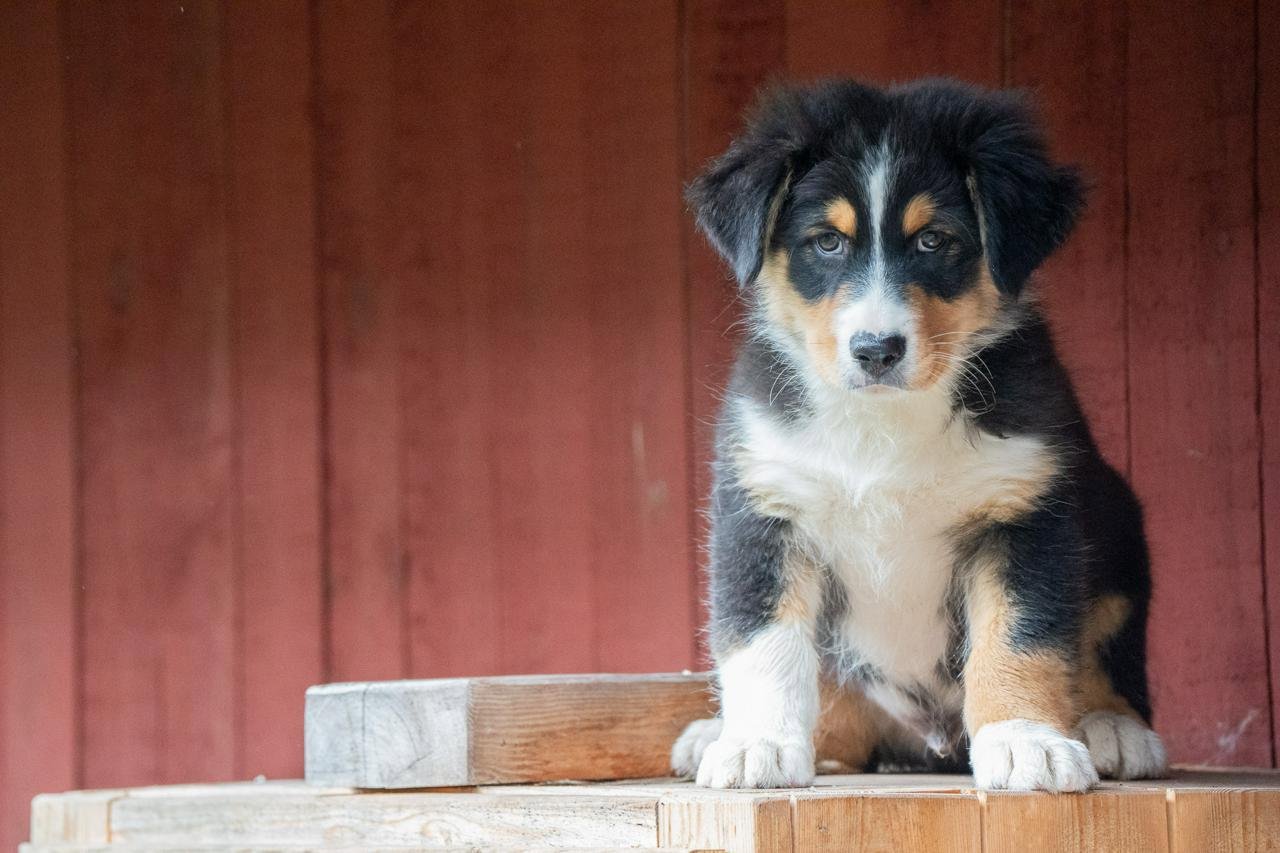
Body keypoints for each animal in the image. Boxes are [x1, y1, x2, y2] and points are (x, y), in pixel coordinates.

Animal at [675, 79, 1167, 788]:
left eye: (935, 240)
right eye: (827, 243)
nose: (875, 350)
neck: (885, 424)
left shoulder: (1025, 511)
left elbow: (1021, 638)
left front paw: (1025, 742)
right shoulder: (763, 509)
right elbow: (763, 642)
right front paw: (755, 746)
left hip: (1120, 540)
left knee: (1103, 645)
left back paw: (1112, 729)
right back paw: (716, 733)